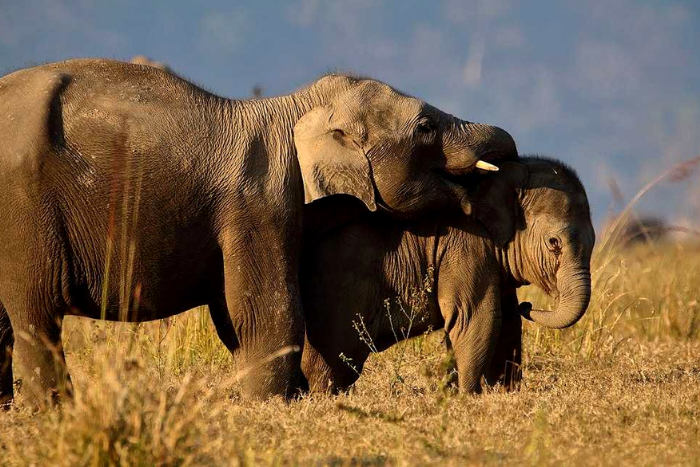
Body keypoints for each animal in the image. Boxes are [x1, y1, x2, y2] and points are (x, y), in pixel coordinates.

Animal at [0, 60, 516, 408]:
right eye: (426, 127)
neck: (297, 108)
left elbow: (231, 319)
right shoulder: (260, 201)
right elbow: (264, 312)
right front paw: (274, 404)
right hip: (24, 210)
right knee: (35, 313)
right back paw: (53, 411)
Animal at [300, 157, 596, 394]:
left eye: (594, 241)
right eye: (554, 243)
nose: (529, 304)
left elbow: (508, 322)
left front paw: (503, 392)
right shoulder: (466, 247)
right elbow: (478, 317)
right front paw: (468, 396)